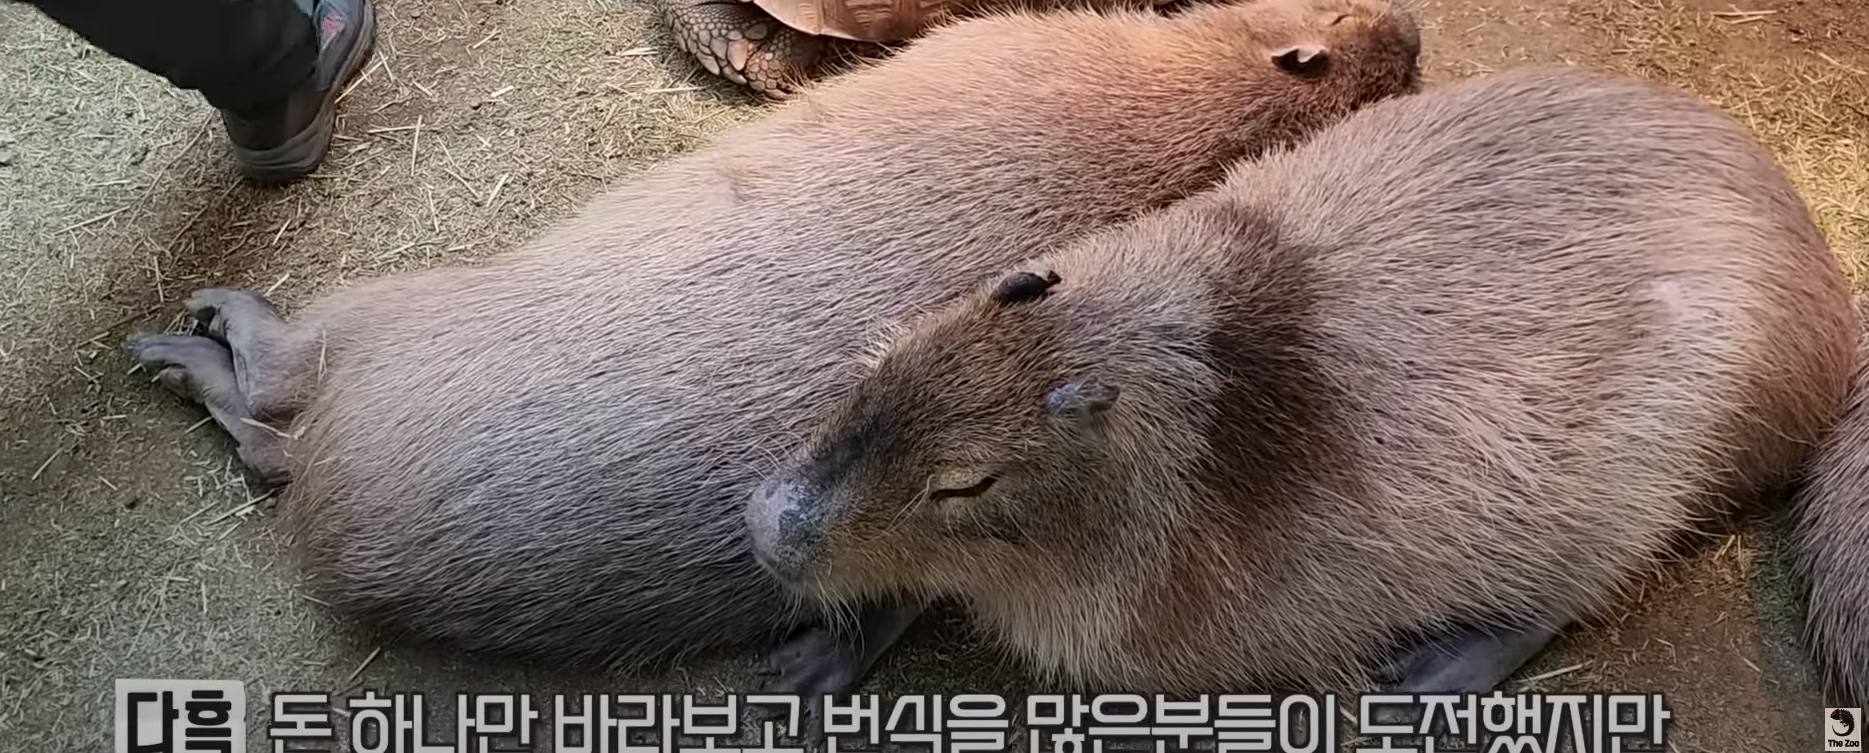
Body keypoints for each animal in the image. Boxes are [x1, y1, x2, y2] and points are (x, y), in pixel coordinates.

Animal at [120, 0, 1423, 690]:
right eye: (1373, 42)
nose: (1409, 25)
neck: (1205, 99)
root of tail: (332, 525)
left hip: (388, 314)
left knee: (279, 391)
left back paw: (191, 331)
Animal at [749, 64, 1856, 696]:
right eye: (887, 365)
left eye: (965, 483)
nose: (768, 526)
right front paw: (807, 658)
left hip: (1644, 475)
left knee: (1572, 588)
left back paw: (1431, 674)